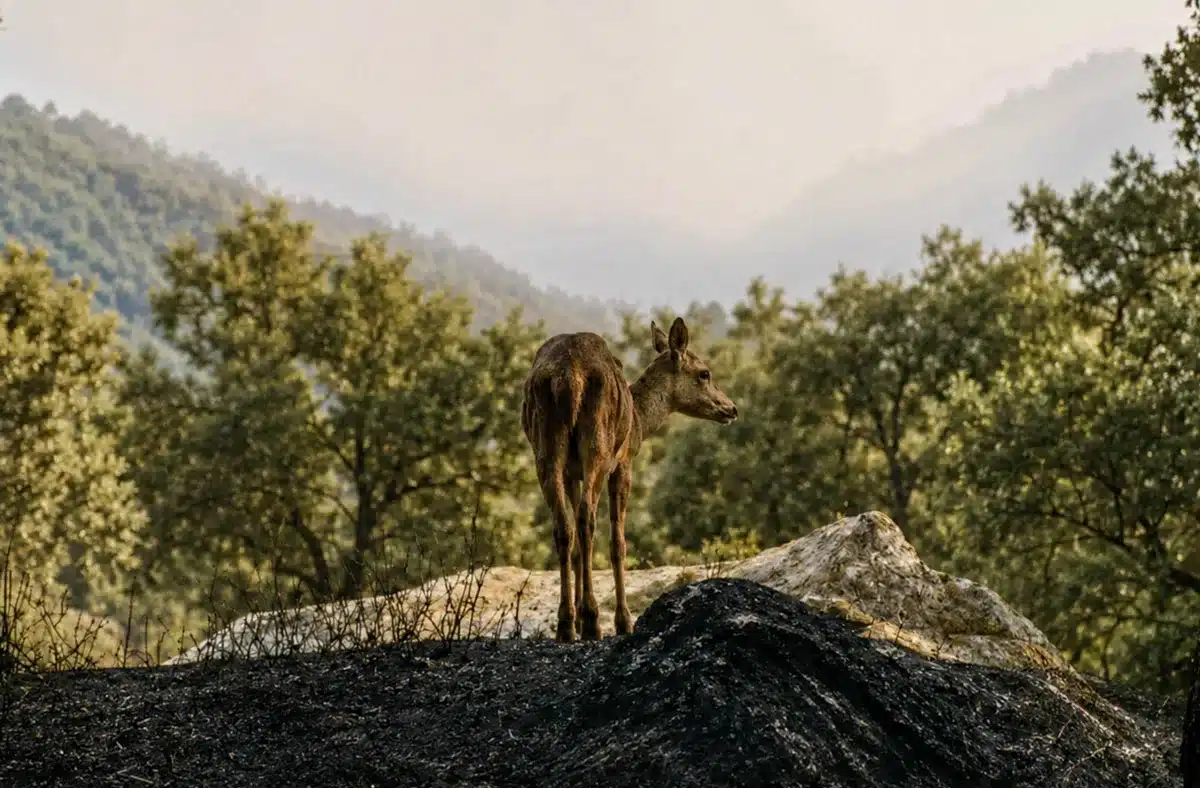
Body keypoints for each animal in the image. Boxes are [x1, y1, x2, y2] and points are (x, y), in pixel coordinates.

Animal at [520, 316, 739, 642]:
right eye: (705, 373)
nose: (731, 408)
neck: (639, 422)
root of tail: (567, 377)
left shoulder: (572, 473)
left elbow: (576, 547)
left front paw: (576, 620)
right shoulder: (624, 461)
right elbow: (618, 543)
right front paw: (623, 621)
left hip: (545, 448)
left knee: (563, 526)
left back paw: (566, 625)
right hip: (599, 444)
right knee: (586, 520)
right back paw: (592, 621)